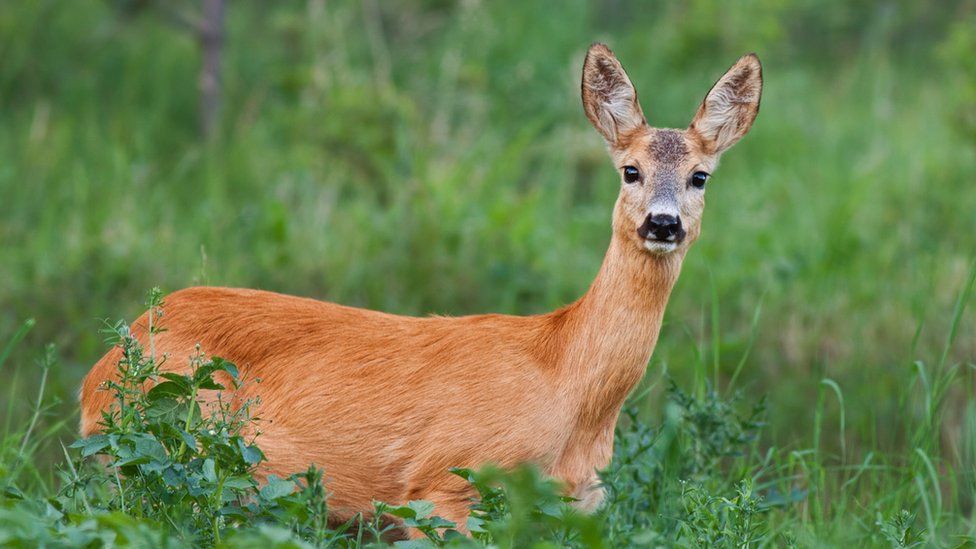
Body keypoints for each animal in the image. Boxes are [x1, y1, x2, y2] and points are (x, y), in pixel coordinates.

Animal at [80, 44, 764, 536]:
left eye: (700, 175)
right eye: (630, 170)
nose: (663, 223)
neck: (566, 382)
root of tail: (104, 366)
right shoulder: (444, 487)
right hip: (157, 449)